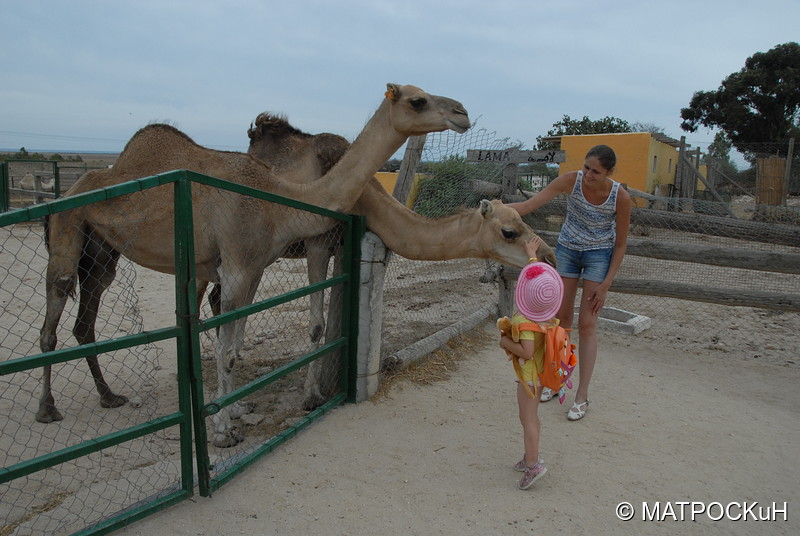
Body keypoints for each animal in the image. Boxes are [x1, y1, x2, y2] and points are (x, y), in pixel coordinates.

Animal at [40, 82, 472, 448]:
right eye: (417, 100)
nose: (463, 112)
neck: (279, 198)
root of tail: (70, 188)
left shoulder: (251, 268)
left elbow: (235, 343)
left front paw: (235, 411)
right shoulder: (243, 265)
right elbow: (230, 349)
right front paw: (223, 431)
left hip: (102, 253)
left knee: (85, 321)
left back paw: (109, 396)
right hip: (67, 231)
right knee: (53, 313)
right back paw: (48, 409)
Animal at [234, 112, 556, 406]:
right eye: (509, 232)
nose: (548, 255)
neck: (363, 197)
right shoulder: (318, 244)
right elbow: (316, 325)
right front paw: (312, 396)